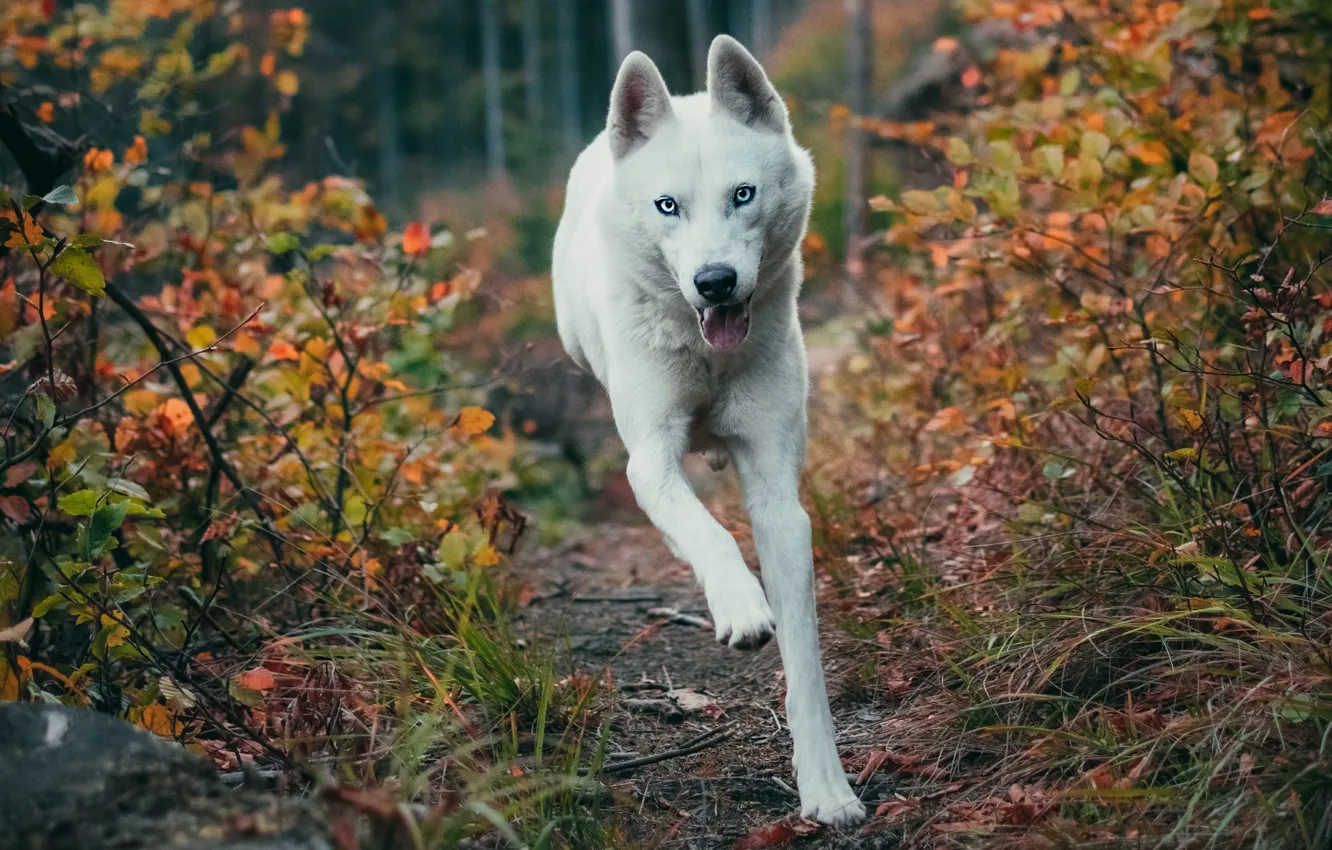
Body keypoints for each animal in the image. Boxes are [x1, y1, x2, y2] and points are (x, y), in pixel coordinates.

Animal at [548, 36, 863, 831]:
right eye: (670, 206)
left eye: (742, 195)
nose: (715, 281)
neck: (708, 354)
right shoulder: (649, 462)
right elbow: (709, 533)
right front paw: (742, 606)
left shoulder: (779, 497)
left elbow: (804, 661)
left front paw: (827, 789)